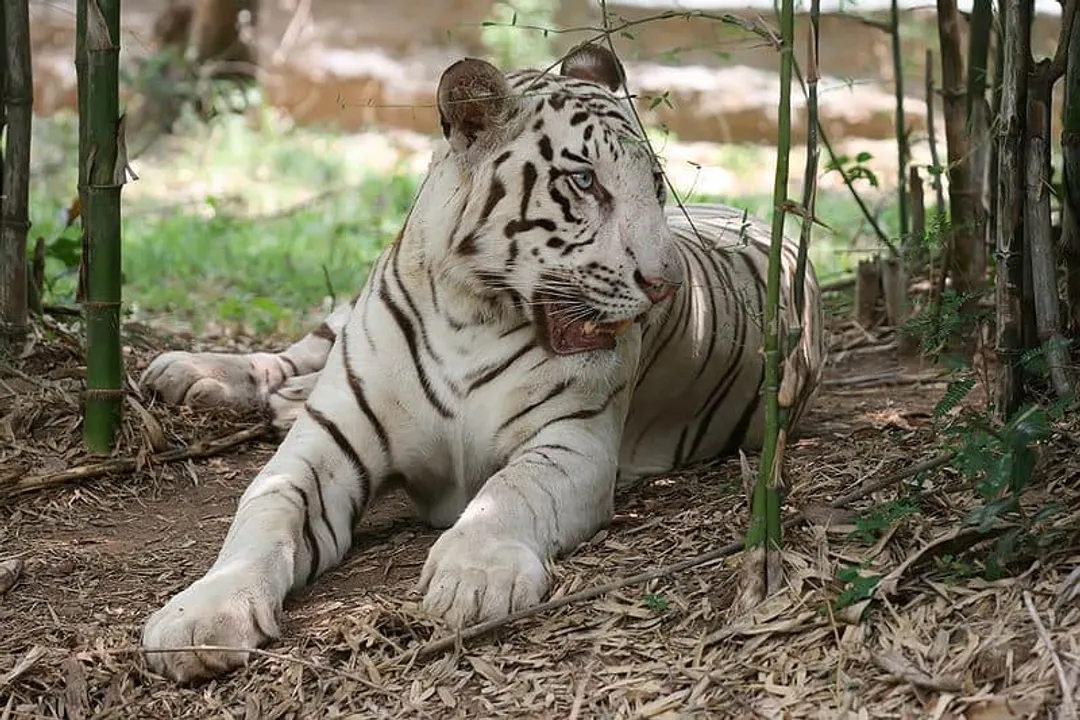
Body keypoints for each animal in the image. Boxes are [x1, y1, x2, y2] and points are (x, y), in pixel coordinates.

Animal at [139, 42, 826, 683]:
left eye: (655, 186)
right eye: (586, 182)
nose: (667, 283)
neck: (470, 314)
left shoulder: (572, 442)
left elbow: (509, 493)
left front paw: (475, 578)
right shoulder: (325, 447)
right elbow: (262, 515)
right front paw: (201, 617)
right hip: (338, 321)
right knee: (299, 350)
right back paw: (194, 374)